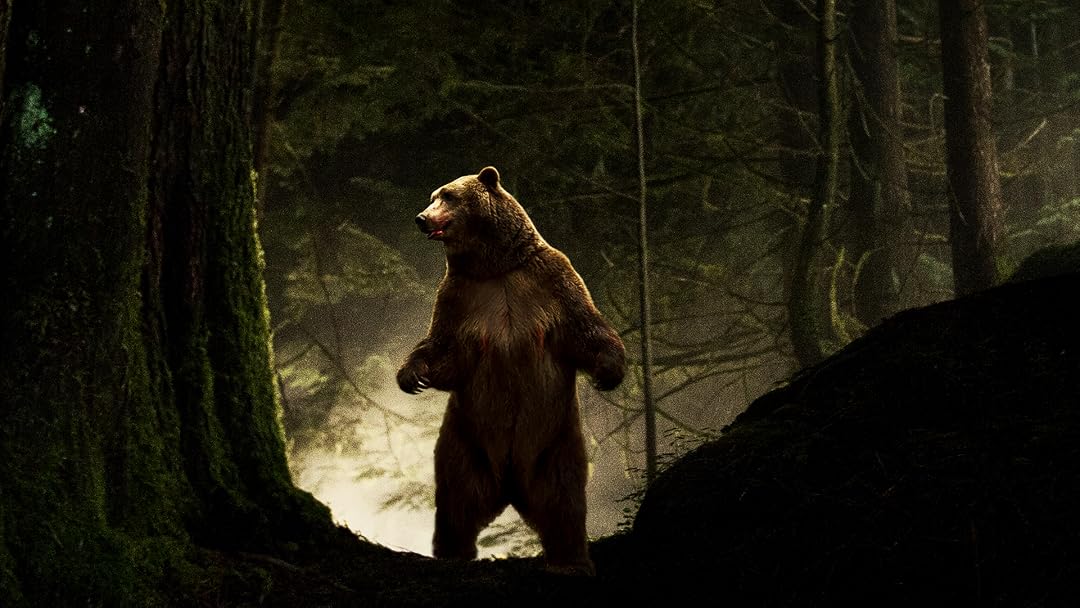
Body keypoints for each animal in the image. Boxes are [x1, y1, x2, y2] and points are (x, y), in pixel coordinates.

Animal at [397, 166, 625, 575]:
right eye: (433, 196)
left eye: (447, 195)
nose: (421, 218)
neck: (495, 266)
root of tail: (509, 485)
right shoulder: (459, 295)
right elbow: (443, 348)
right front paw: (412, 375)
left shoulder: (551, 279)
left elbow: (584, 328)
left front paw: (608, 371)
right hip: (465, 441)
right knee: (456, 501)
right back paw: (453, 553)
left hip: (557, 442)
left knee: (564, 502)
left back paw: (571, 561)